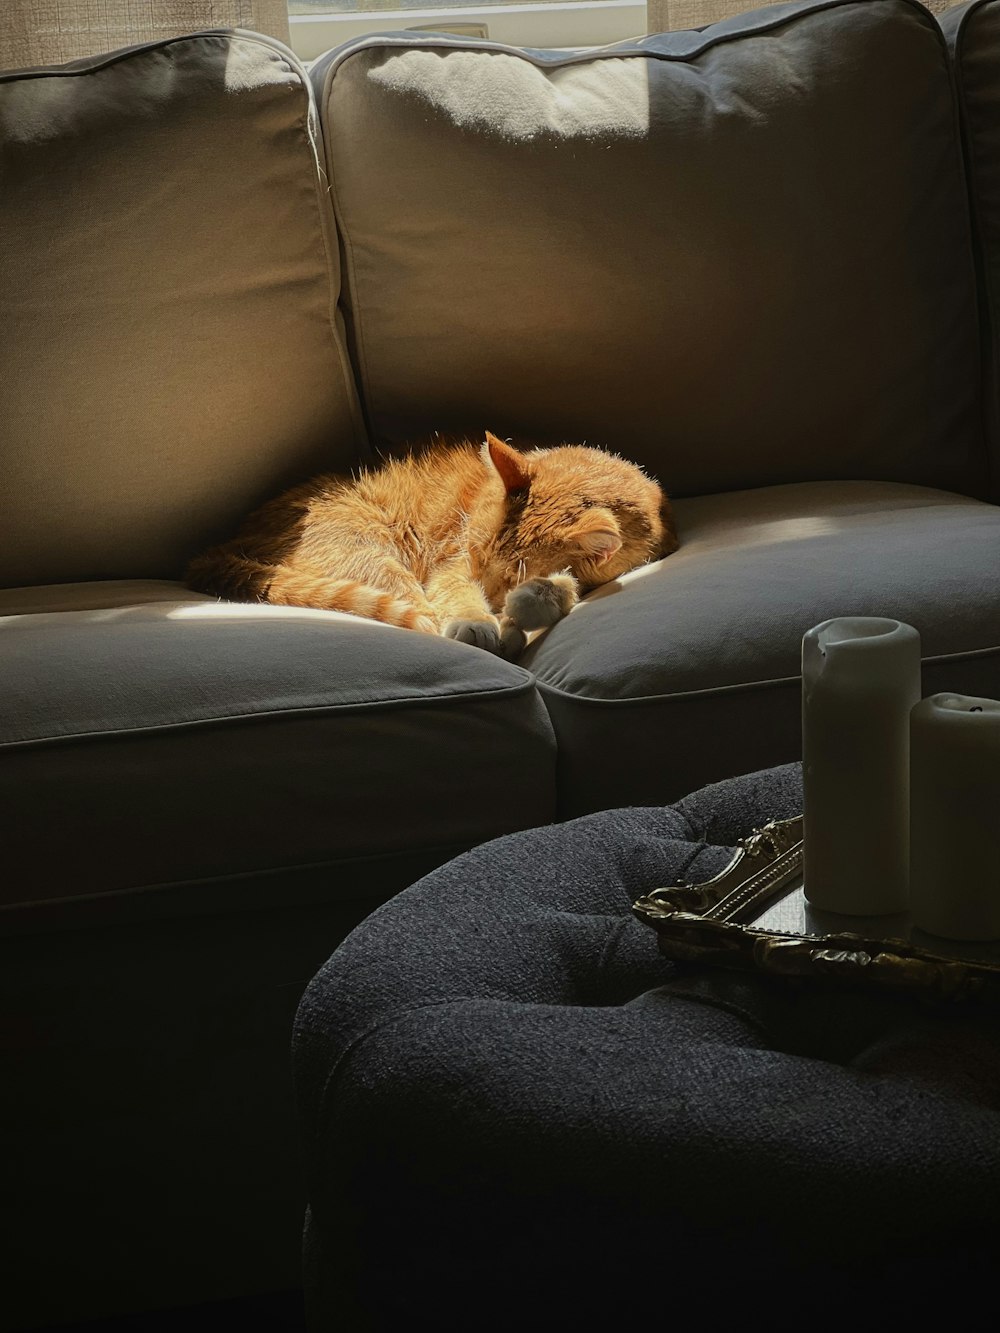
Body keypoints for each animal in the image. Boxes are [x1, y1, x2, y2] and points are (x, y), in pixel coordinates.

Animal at [184, 431, 677, 655]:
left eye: (508, 578)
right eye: (475, 557)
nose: (491, 599)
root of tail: (221, 548)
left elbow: (567, 584)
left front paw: (536, 599)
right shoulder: (450, 566)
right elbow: (453, 593)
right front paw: (479, 619)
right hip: (376, 556)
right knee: (420, 613)